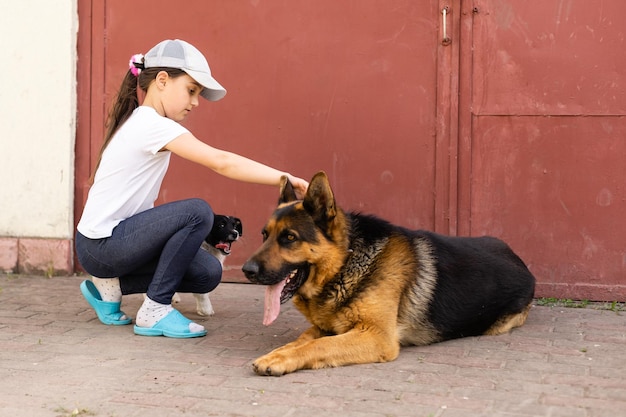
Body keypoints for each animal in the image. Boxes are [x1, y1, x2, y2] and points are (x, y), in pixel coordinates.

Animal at [241, 171, 532, 376]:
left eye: (289, 237)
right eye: (265, 235)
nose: (246, 270)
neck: (345, 263)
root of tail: (519, 260)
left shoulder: (377, 336)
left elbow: (318, 346)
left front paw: (280, 360)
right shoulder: (325, 327)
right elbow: (300, 341)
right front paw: (278, 354)